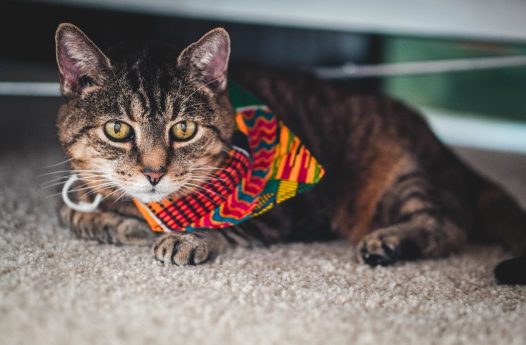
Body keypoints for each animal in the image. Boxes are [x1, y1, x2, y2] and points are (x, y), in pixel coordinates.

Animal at [55, 22, 524, 284]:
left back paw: (388, 243)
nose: (154, 174)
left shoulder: (278, 217)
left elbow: (213, 225)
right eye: (118, 129)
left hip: (403, 175)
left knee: (449, 226)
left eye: (183, 129)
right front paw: (121, 222)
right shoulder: (76, 189)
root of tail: (440, 144)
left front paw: (181, 237)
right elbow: (76, 214)